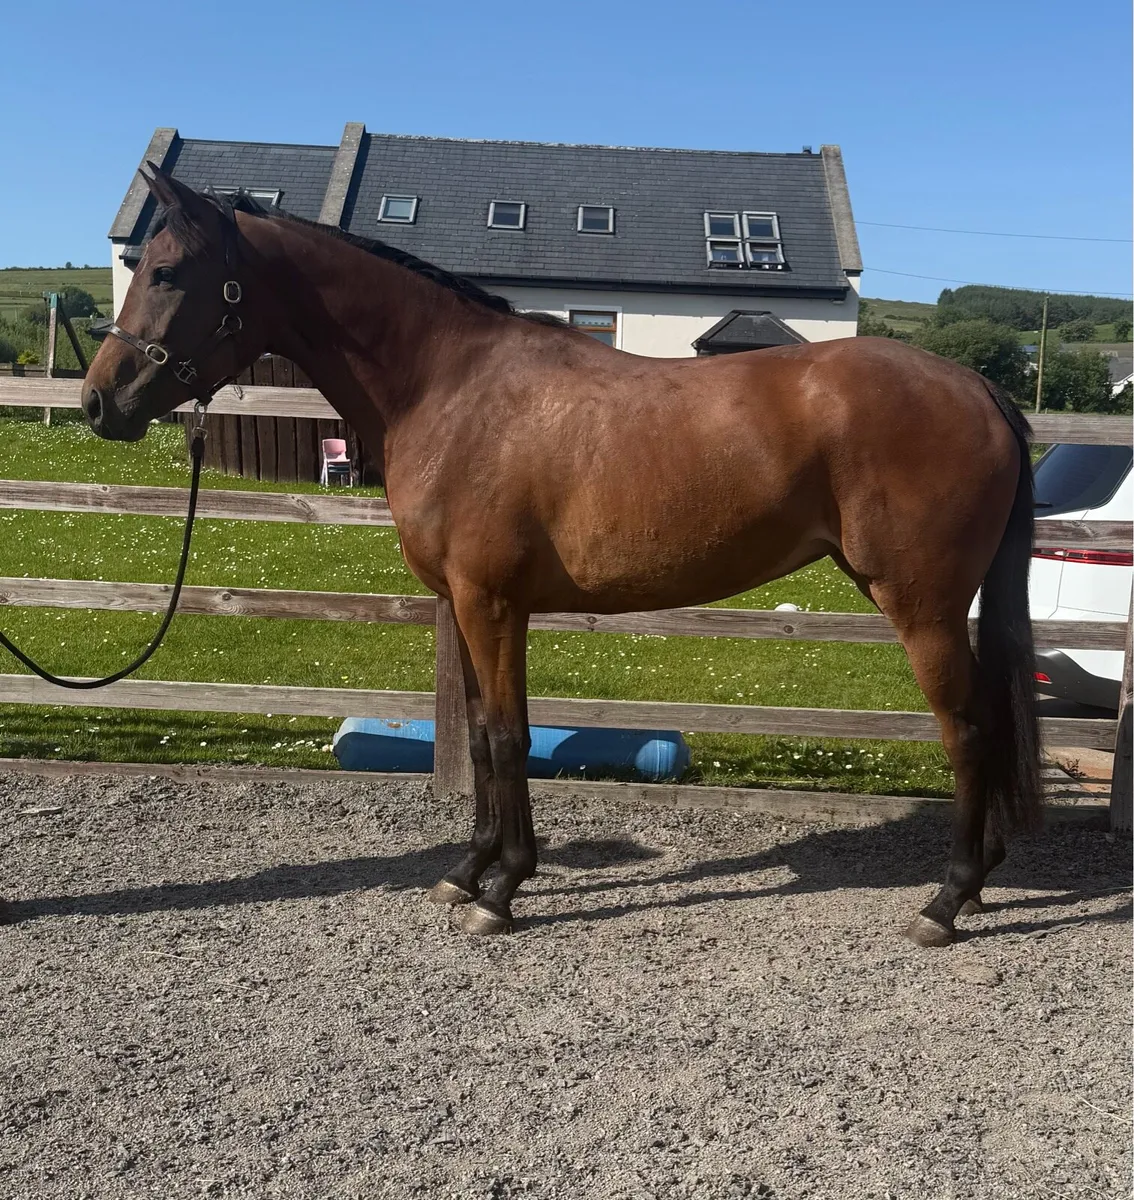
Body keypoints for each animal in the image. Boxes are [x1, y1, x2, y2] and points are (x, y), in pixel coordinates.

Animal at [80, 164, 1041, 947]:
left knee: (967, 728)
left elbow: (509, 735)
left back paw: (946, 901)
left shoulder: (492, 601)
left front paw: (503, 890)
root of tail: (979, 387)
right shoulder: (463, 604)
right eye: (144, 264)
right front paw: (466, 872)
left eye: (168, 272)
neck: (449, 385)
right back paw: (979, 883)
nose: (99, 403)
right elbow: (476, 735)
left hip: (918, 602)